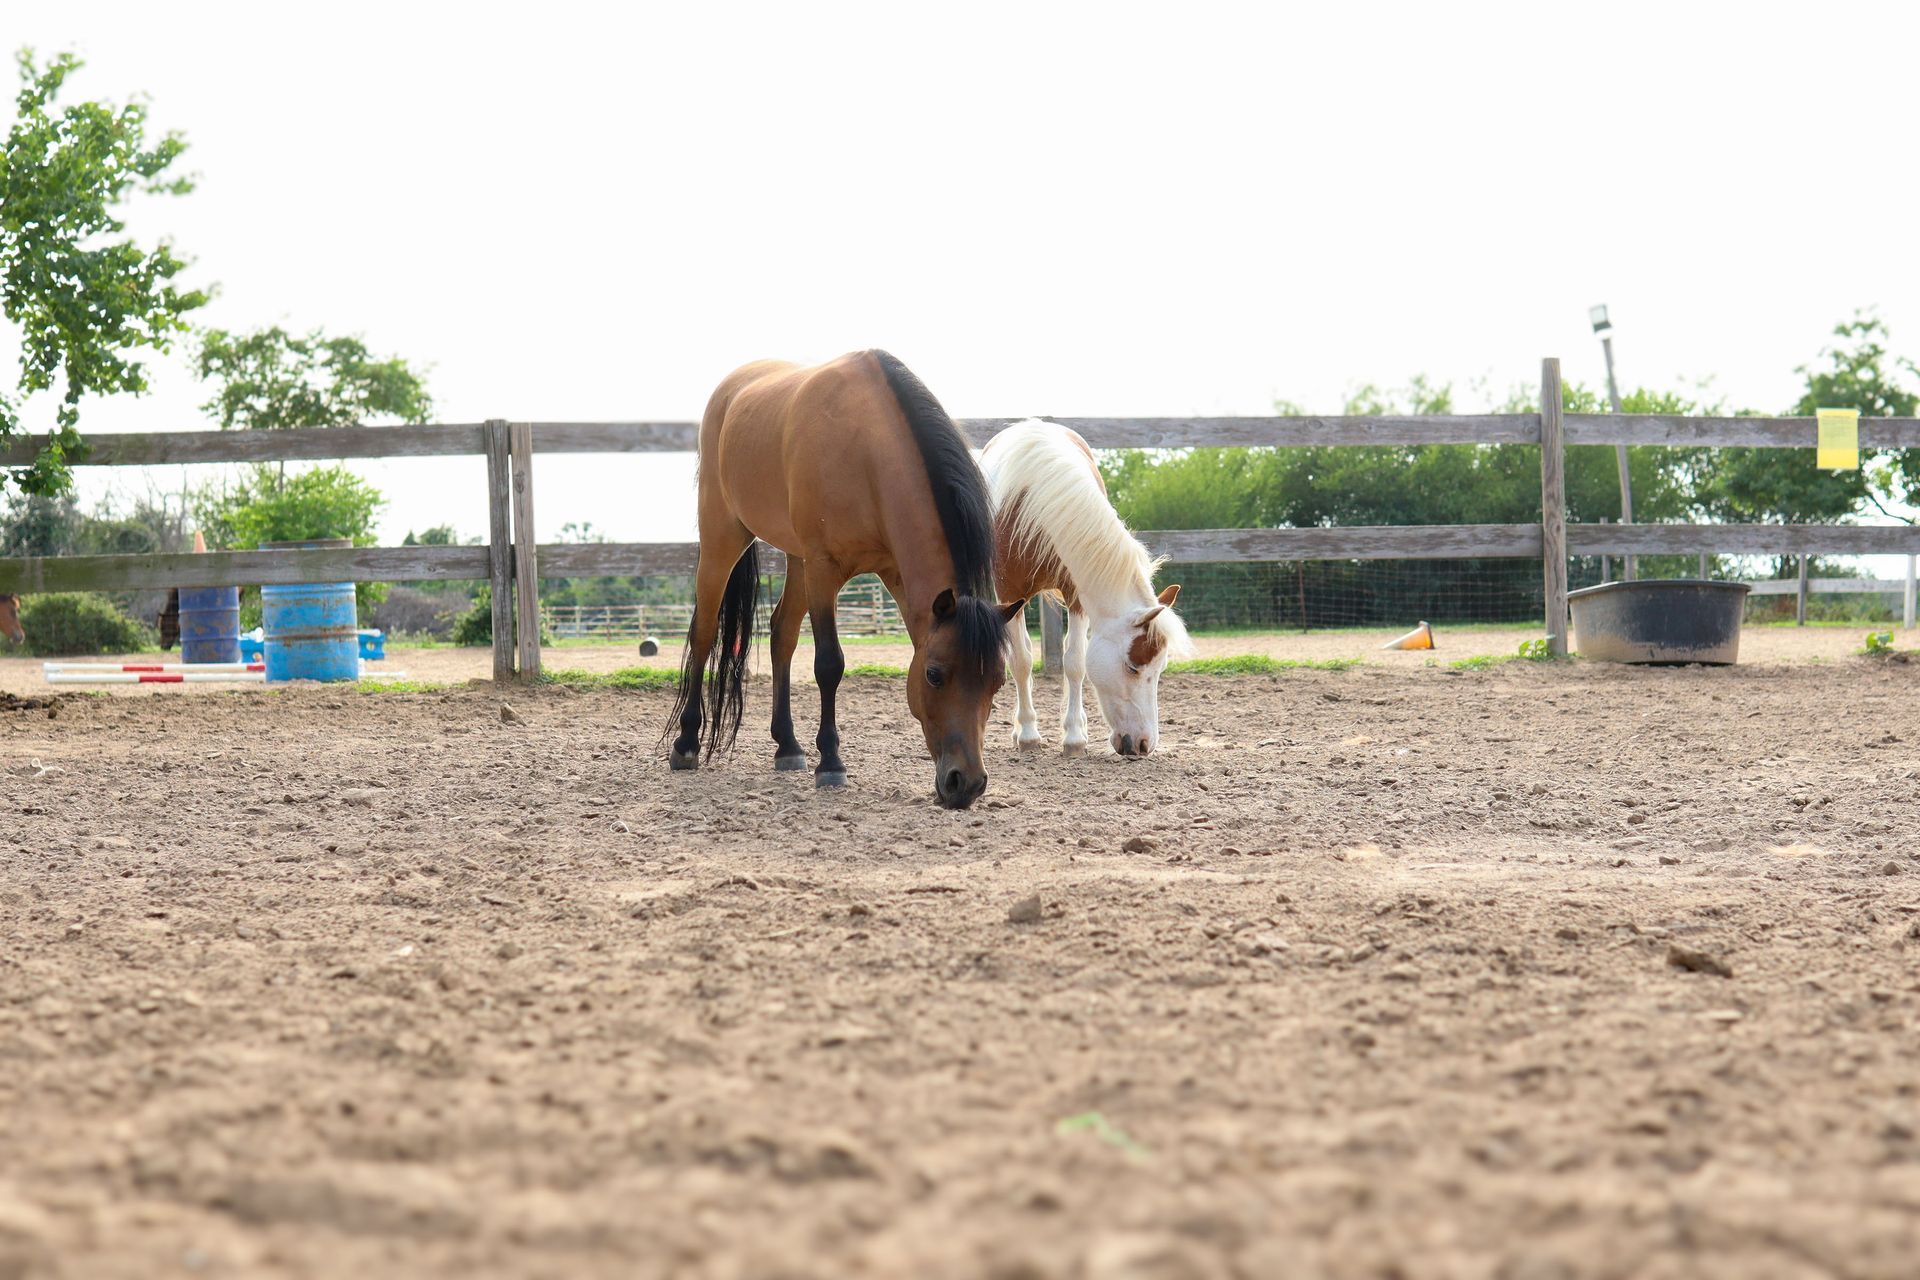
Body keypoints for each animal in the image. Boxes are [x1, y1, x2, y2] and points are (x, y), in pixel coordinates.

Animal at [666, 351, 1026, 809]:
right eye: (933, 674)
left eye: (997, 681)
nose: (967, 783)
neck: (866, 450)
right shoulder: (824, 568)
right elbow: (829, 663)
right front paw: (831, 764)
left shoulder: (894, 573)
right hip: (724, 539)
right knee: (705, 633)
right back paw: (687, 743)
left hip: (796, 558)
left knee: (782, 634)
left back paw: (787, 747)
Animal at [981, 420, 1191, 757]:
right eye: (1133, 667)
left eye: (1160, 668)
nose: (1144, 744)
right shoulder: (1010, 593)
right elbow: (1021, 661)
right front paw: (1027, 733)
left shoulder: (1077, 595)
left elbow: (1075, 662)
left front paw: (1074, 736)